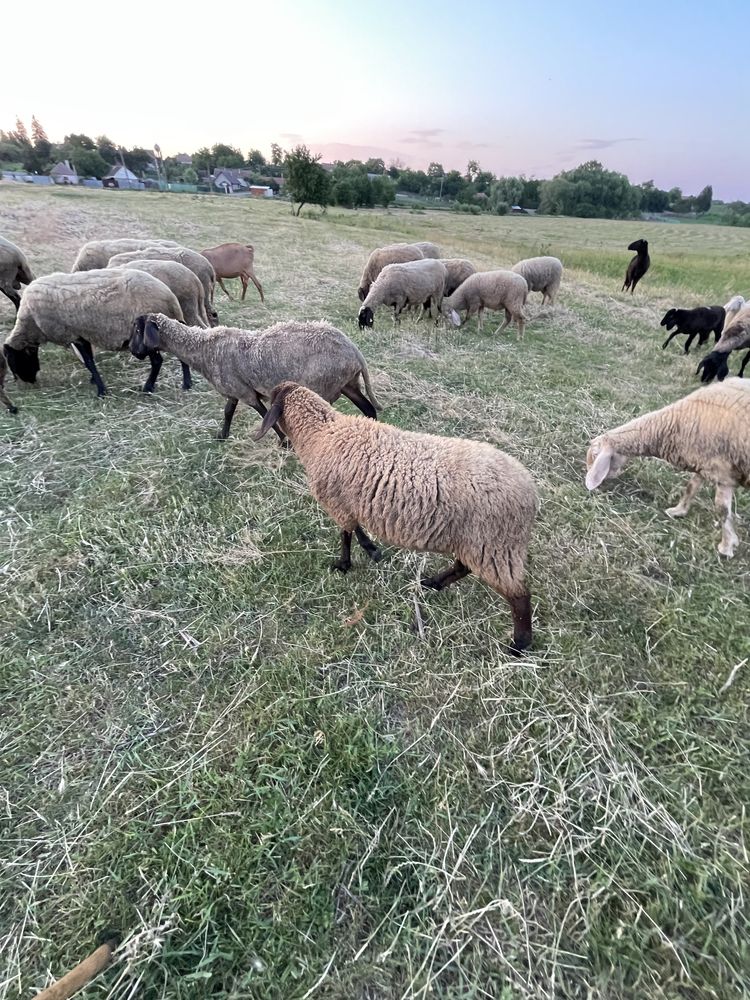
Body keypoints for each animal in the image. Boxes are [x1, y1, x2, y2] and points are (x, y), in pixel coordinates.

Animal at [3, 274, 186, 402]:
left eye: (13, 361)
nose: (29, 384)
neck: (32, 323)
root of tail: (170, 298)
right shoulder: (81, 334)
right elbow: (88, 360)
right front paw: (94, 381)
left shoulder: (72, 334)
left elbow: (89, 362)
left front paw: (101, 391)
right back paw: (186, 385)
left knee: (157, 361)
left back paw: (148, 388)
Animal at [130, 312, 384, 438]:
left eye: (138, 329)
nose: (133, 351)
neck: (205, 349)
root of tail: (354, 350)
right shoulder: (234, 391)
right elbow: (228, 412)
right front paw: (222, 436)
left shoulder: (247, 393)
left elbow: (264, 416)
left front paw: (284, 442)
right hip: (347, 383)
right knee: (368, 409)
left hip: (323, 386)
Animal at [253, 378, 540, 652]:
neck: (323, 434)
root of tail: (530, 491)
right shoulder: (349, 503)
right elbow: (356, 529)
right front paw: (371, 549)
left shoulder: (338, 504)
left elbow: (345, 535)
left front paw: (344, 565)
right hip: (477, 542)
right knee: (463, 567)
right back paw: (433, 583)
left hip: (494, 545)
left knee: (519, 596)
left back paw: (519, 646)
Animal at [588, 378, 750, 560]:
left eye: (594, 455)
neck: (674, 424)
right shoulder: (705, 463)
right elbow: (691, 487)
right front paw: (678, 511)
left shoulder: (723, 473)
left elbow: (722, 510)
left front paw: (727, 546)